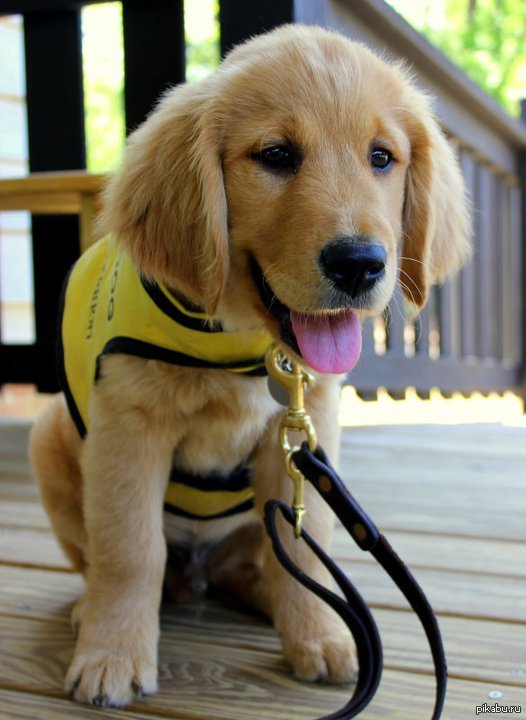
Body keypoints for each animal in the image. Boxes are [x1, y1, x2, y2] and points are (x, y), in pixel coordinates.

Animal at [29, 23, 470, 708]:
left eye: (381, 158)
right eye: (277, 155)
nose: (360, 264)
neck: (245, 344)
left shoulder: (305, 436)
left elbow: (305, 542)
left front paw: (317, 634)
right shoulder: (129, 428)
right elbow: (130, 549)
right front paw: (112, 654)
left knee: (256, 561)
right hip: (49, 434)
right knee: (124, 563)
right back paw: (91, 611)